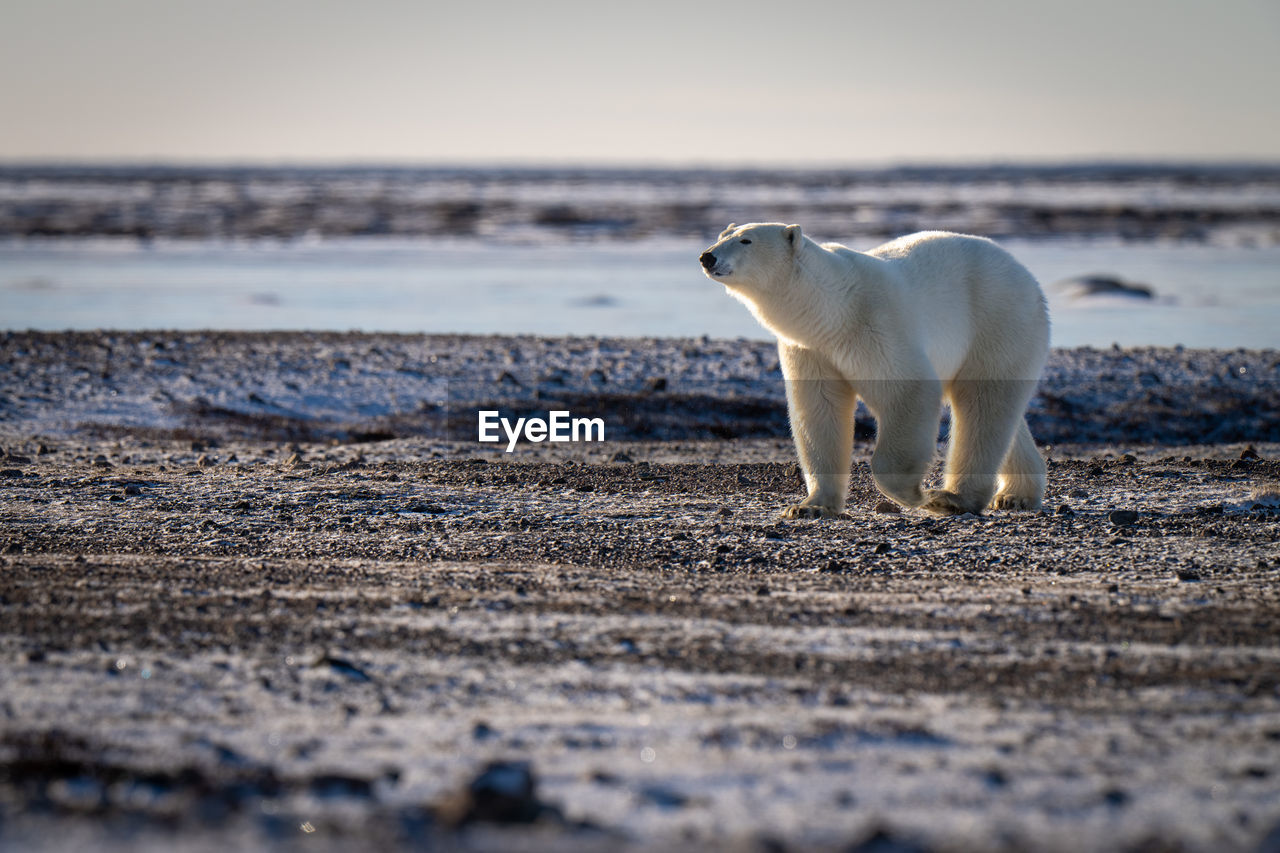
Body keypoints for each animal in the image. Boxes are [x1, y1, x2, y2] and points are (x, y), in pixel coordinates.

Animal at [701, 222, 1049, 514]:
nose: (707, 256)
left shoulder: (876, 326)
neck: (833, 309)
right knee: (999, 411)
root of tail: (1028, 277)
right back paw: (1016, 494)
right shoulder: (811, 349)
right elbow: (819, 411)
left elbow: (909, 390)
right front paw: (810, 506)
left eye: (745, 240)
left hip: (997, 319)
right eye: (722, 234)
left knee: (982, 402)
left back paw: (952, 498)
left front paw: (915, 494)